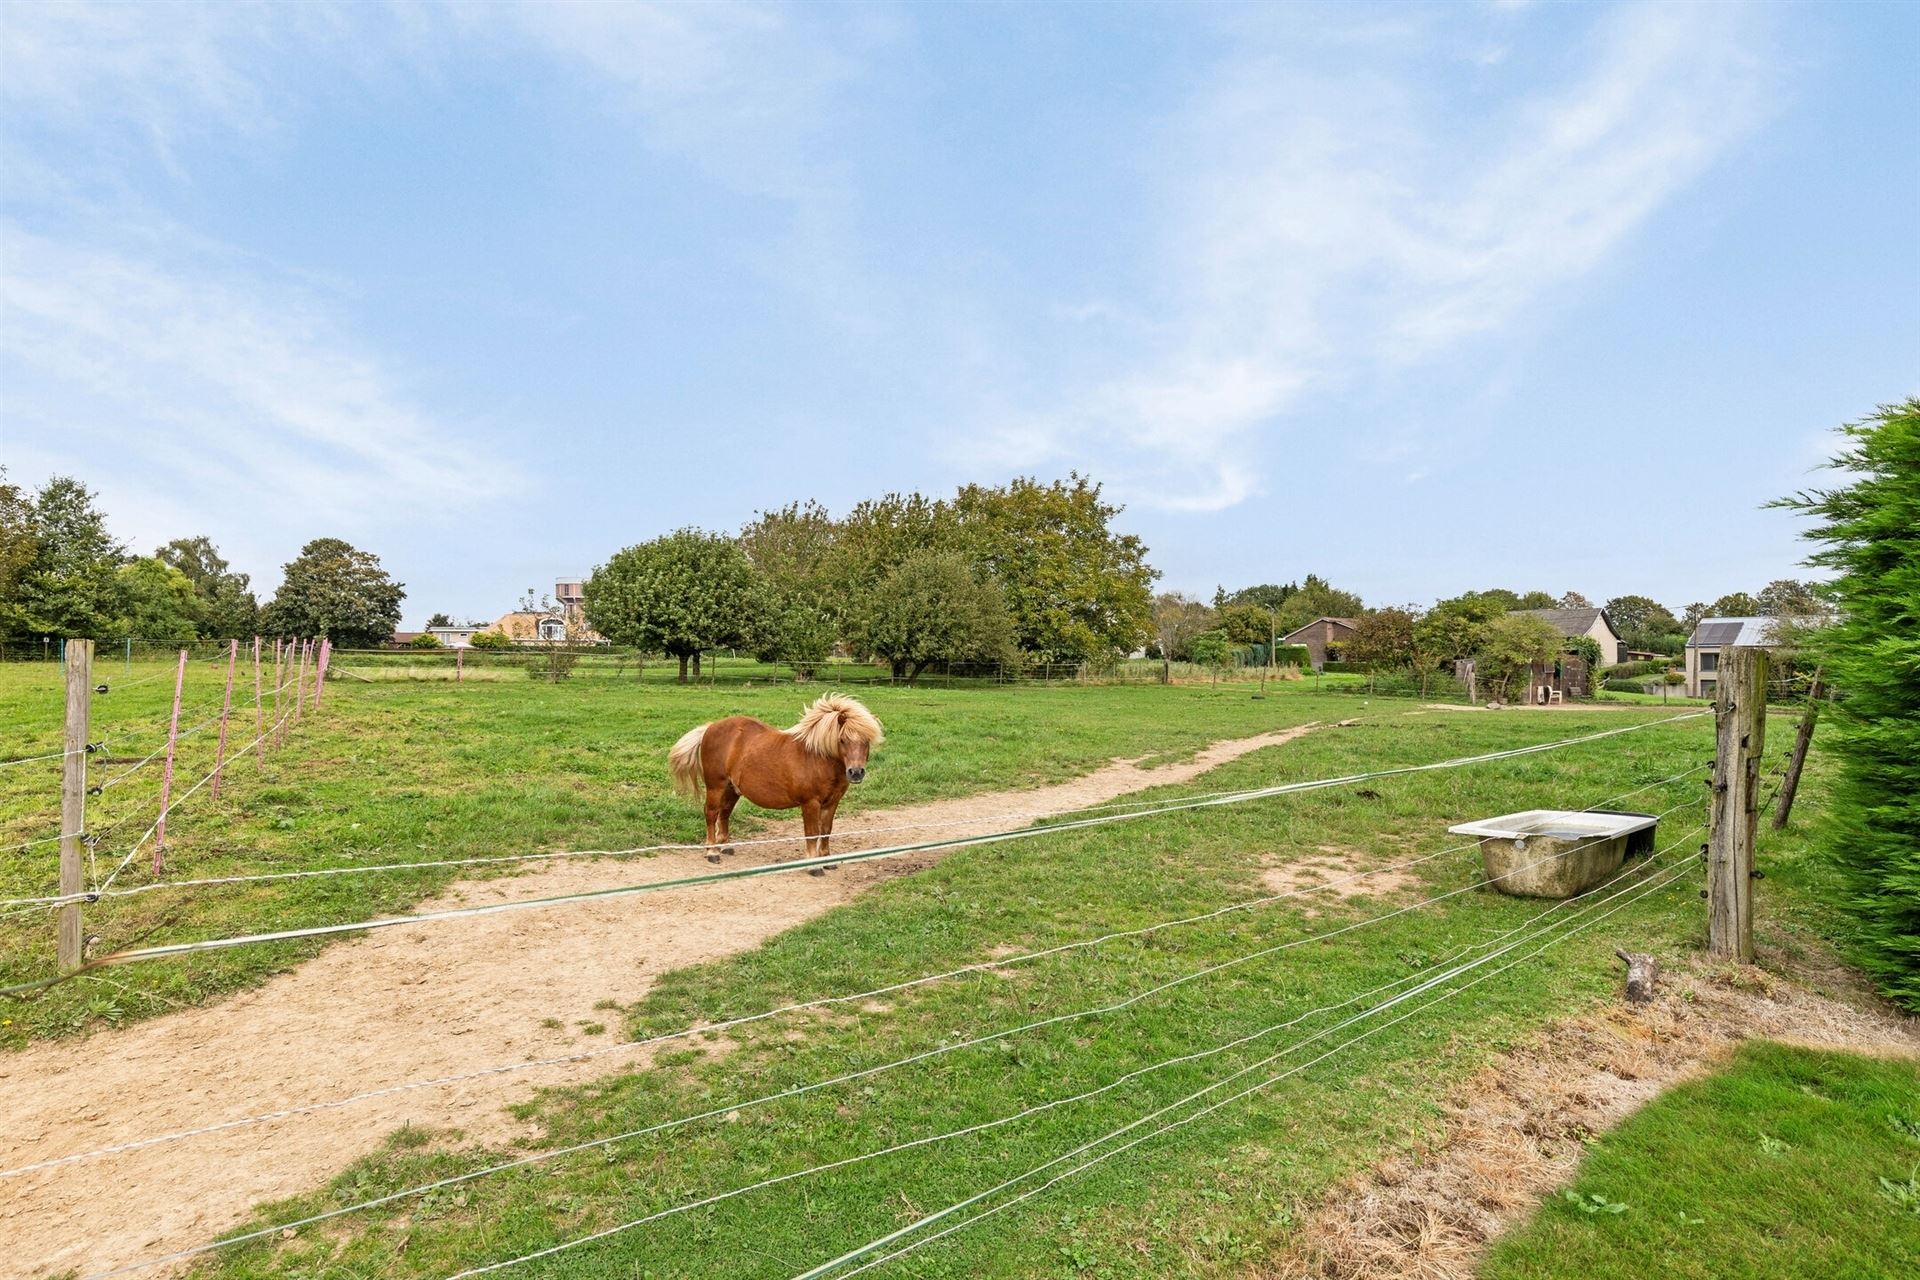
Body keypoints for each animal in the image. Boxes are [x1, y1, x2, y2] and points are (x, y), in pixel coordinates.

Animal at [668, 694, 883, 875]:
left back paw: (725, 846)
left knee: (725, 814)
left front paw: (827, 861)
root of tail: (710, 727)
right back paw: (712, 852)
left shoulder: (832, 803)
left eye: (866, 741)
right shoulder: (810, 803)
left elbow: (826, 831)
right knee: (711, 813)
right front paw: (814, 866)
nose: (856, 772)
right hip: (716, 786)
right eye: (842, 740)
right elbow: (812, 833)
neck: (817, 757)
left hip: (732, 789)